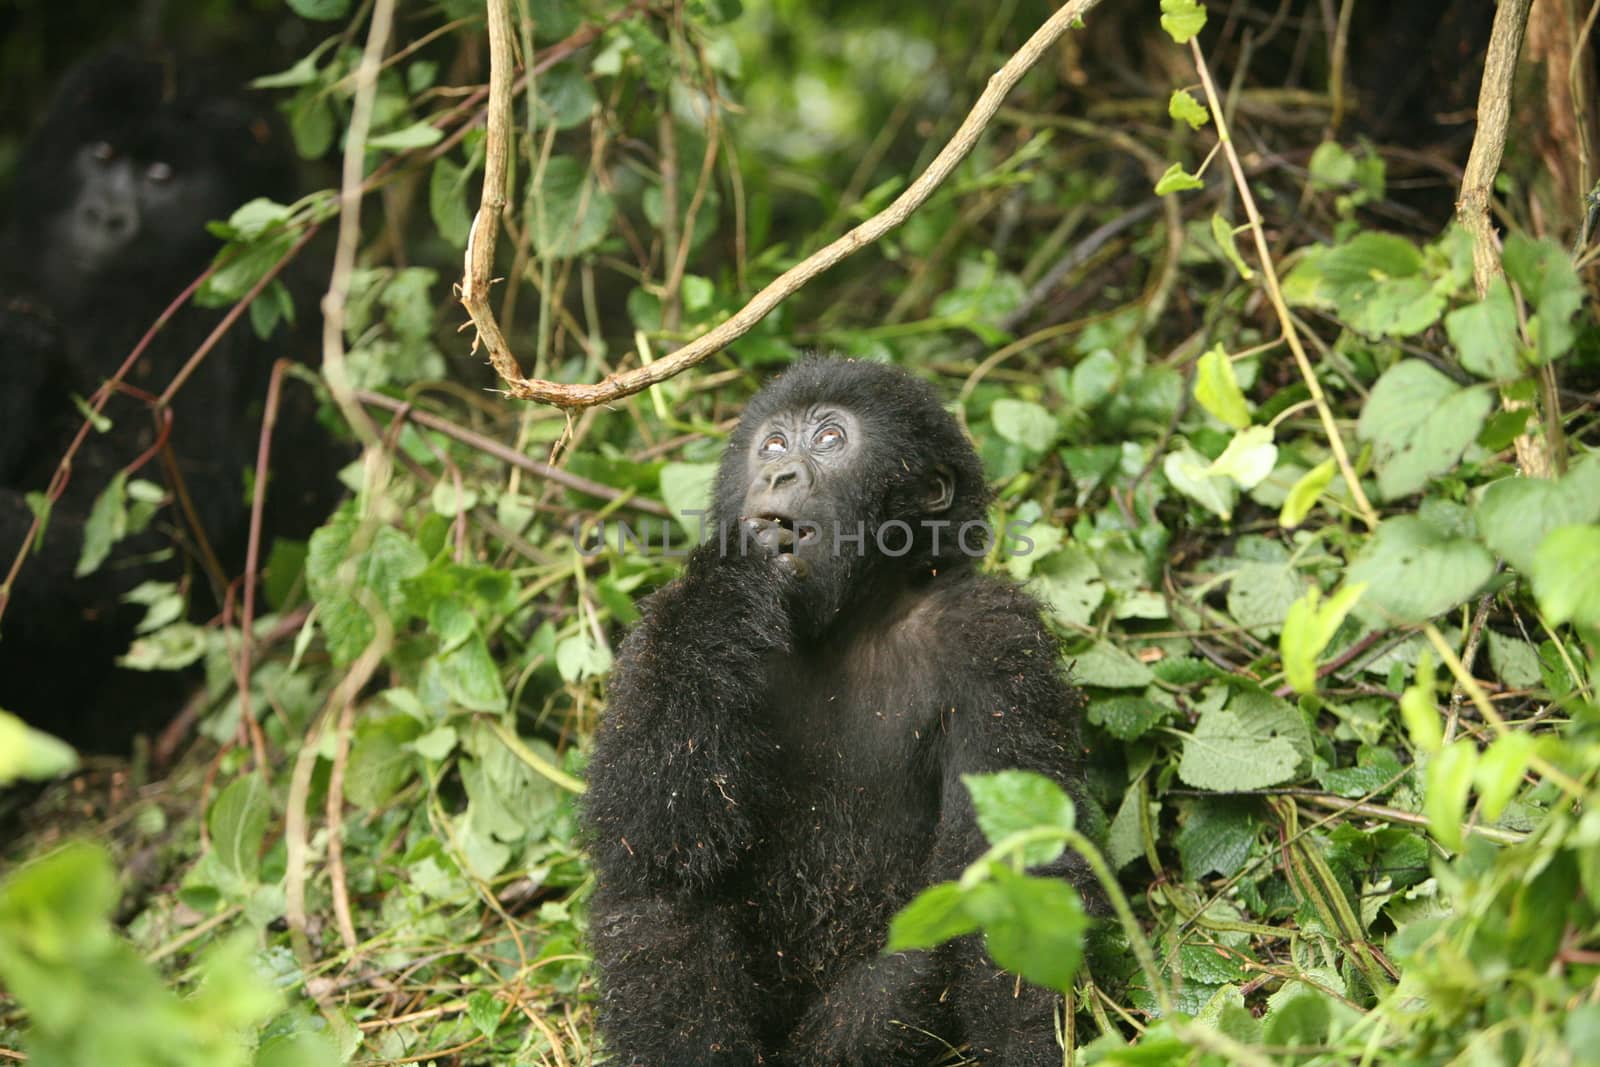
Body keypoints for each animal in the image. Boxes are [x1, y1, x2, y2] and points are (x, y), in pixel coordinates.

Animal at [588, 361, 1088, 1067]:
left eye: (829, 440)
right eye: (772, 444)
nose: (779, 475)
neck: (851, 620)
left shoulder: (994, 636)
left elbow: (1014, 866)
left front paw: (1030, 1046)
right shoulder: (658, 629)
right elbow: (646, 824)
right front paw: (733, 572)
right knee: (658, 891)